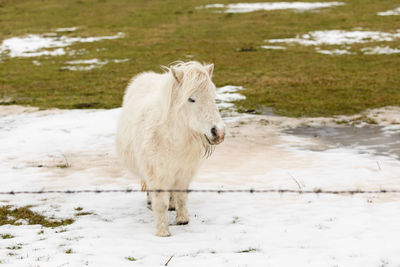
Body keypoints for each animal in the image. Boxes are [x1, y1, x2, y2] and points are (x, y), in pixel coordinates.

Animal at [115, 60, 225, 237]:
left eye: (213, 96)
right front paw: (163, 231)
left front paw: (182, 219)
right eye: (191, 99)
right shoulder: (156, 173)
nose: (218, 132)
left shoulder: (184, 172)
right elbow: (160, 203)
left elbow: (181, 196)